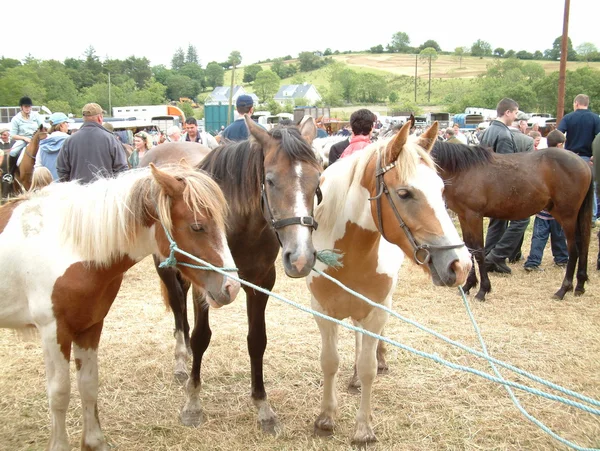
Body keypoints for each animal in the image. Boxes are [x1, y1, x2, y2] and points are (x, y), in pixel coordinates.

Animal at [0, 166, 239, 451]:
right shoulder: (53, 332)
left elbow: (88, 384)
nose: (232, 287)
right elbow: (59, 394)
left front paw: (94, 442)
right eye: (197, 226)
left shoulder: (91, 326)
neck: (68, 247)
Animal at [308, 122, 472, 446]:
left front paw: (363, 429)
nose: (460, 265)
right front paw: (326, 418)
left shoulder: (377, 309)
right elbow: (329, 361)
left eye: (441, 189)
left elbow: (368, 368)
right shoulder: (322, 311)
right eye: (405, 193)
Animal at [432, 141, 596, 302]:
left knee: (574, 250)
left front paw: (483, 290)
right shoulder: (463, 216)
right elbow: (470, 249)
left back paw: (563, 290)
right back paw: (579, 286)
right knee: (583, 246)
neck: (462, 171)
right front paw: (468, 286)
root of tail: (583, 163)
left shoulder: (474, 216)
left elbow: (478, 251)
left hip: (567, 217)